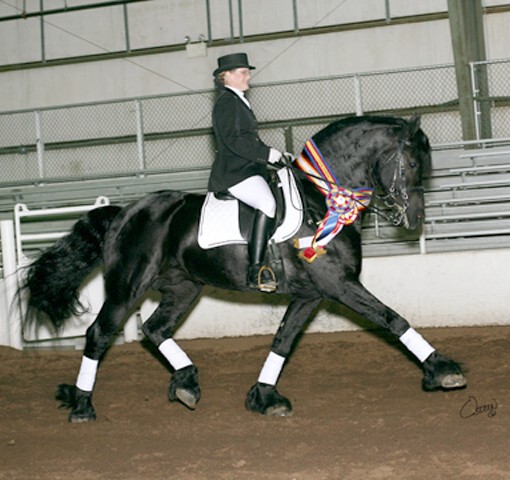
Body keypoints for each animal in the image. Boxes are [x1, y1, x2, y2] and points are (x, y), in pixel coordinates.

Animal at [20, 114, 466, 422]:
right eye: (411, 163)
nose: (415, 219)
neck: (322, 199)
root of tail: (125, 213)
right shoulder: (339, 285)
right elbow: (392, 319)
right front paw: (443, 370)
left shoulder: (312, 294)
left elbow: (283, 341)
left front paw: (266, 398)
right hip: (126, 286)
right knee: (99, 334)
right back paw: (82, 407)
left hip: (184, 287)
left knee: (155, 329)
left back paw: (186, 383)